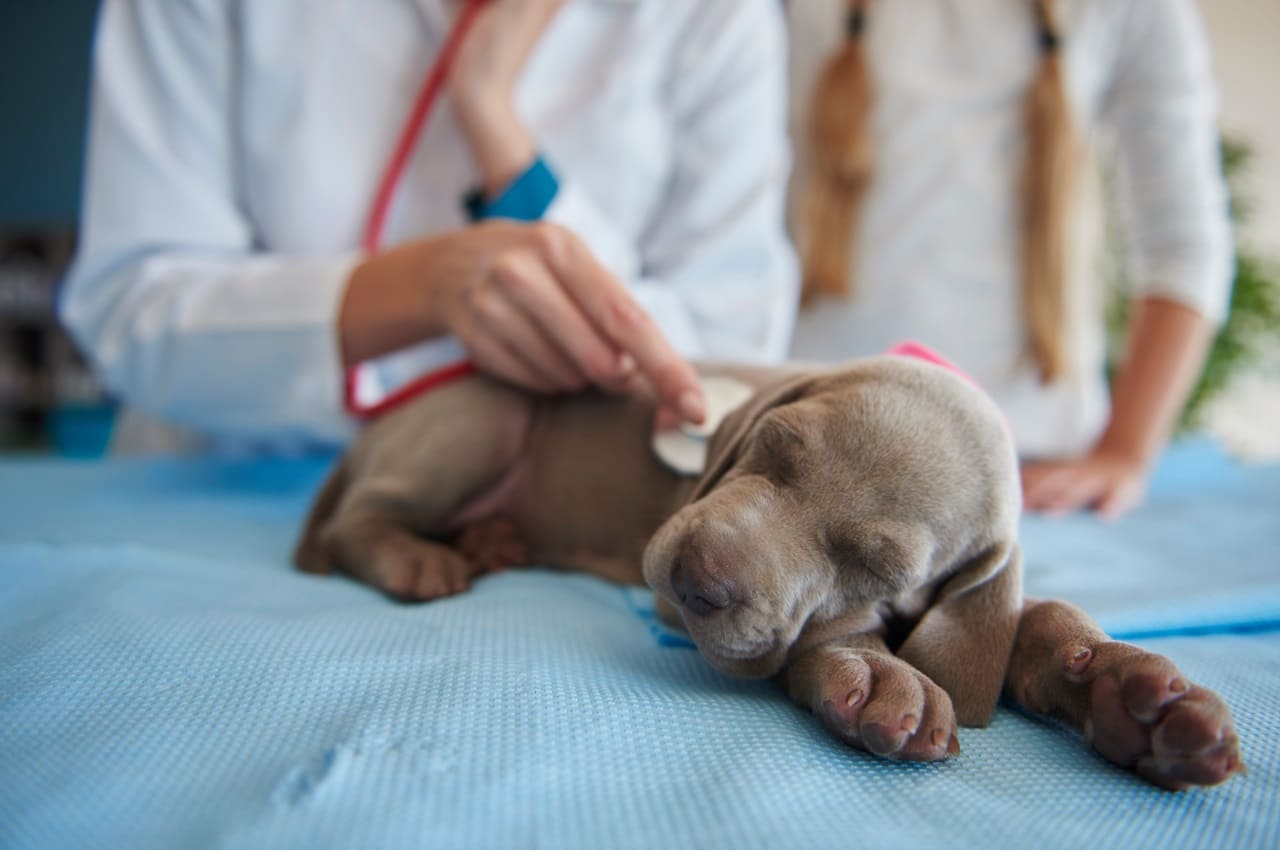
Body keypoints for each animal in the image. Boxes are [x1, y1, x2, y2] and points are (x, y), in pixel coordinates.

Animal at [296, 353, 1239, 788]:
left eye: (876, 563)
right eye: (774, 449)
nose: (696, 580)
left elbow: (1023, 617)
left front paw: (1132, 696)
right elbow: (826, 641)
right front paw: (874, 672)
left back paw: (491, 542)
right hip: (481, 418)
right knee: (358, 519)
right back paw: (420, 557)